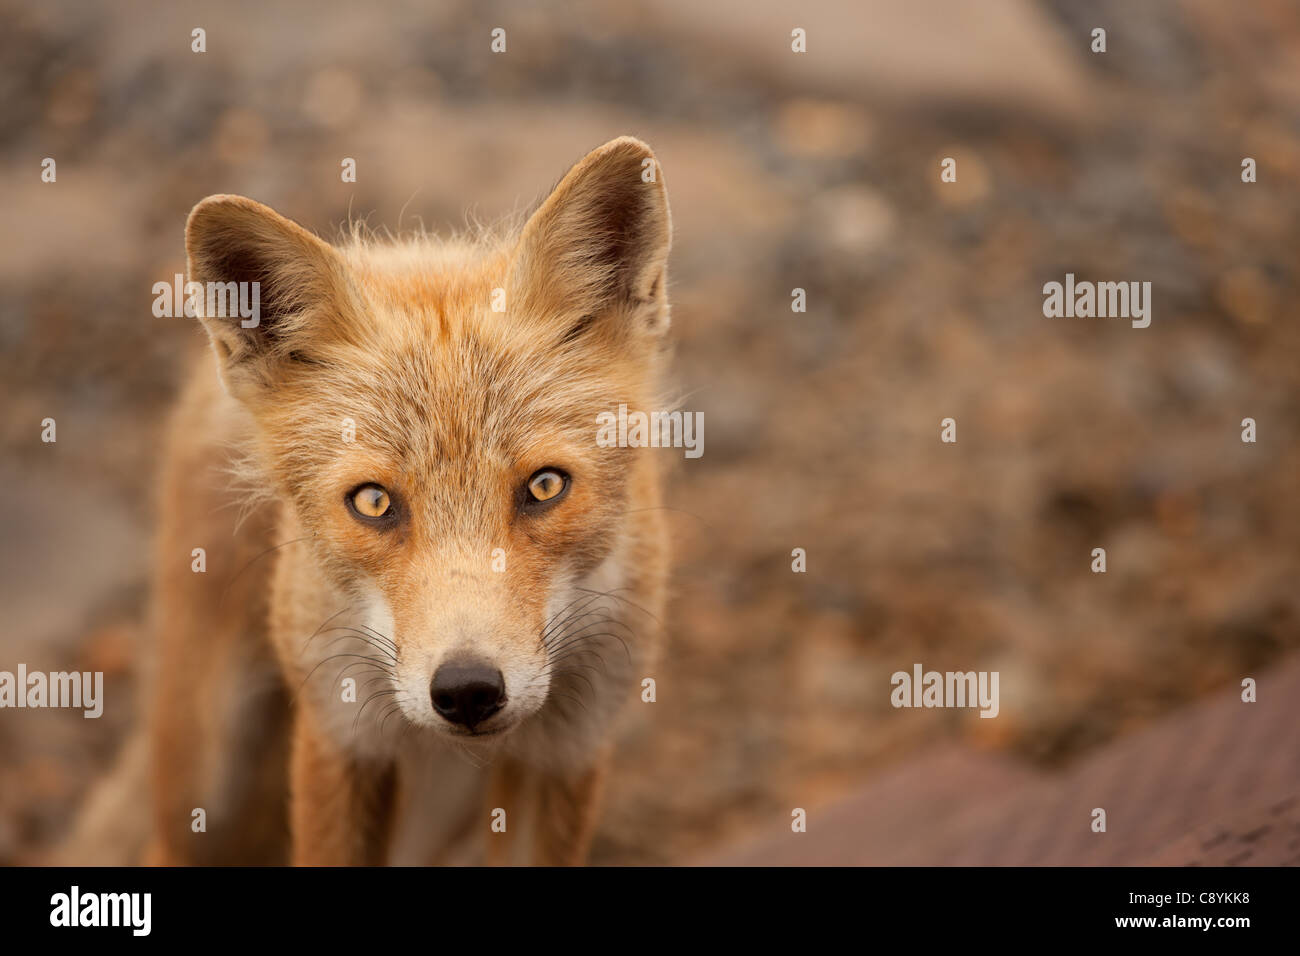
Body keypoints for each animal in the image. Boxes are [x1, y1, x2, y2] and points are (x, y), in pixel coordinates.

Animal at [71, 136, 676, 868]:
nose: (467, 691)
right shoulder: (342, 735)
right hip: (212, 783)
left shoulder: (566, 749)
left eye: (545, 486)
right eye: (373, 502)